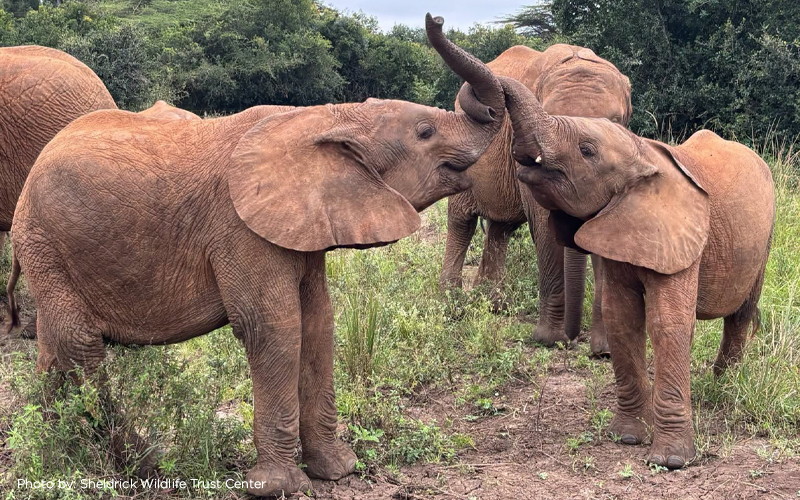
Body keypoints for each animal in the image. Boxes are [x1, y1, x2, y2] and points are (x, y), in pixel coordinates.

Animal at [5, 15, 506, 497]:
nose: (436, 18)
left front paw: (338, 470)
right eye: (425, 132)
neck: (325, 118)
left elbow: (318, 321)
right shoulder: (239, 228)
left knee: (54, 348)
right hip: (42, 239)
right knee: (80, 344)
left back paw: (53, 454)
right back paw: (143, 464)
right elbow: (274, 326)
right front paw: (281, 487)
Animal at [439, 42, 631, 355]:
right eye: (550, 118)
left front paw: (605, 351)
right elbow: (544, 221)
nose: (573, 338)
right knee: (461, 221)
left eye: (615, 123)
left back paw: (494, 305)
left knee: (501, 228)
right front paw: (550, 339)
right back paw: (451, 307)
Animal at [498, 76, 774, 469]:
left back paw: (725, 386)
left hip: (765, 239)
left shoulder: (679, 235)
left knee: (742, 312)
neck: (642, 153)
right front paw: (627, 438)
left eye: (587, 151)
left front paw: (670, 461)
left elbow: (667, 322)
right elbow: (622, 317)